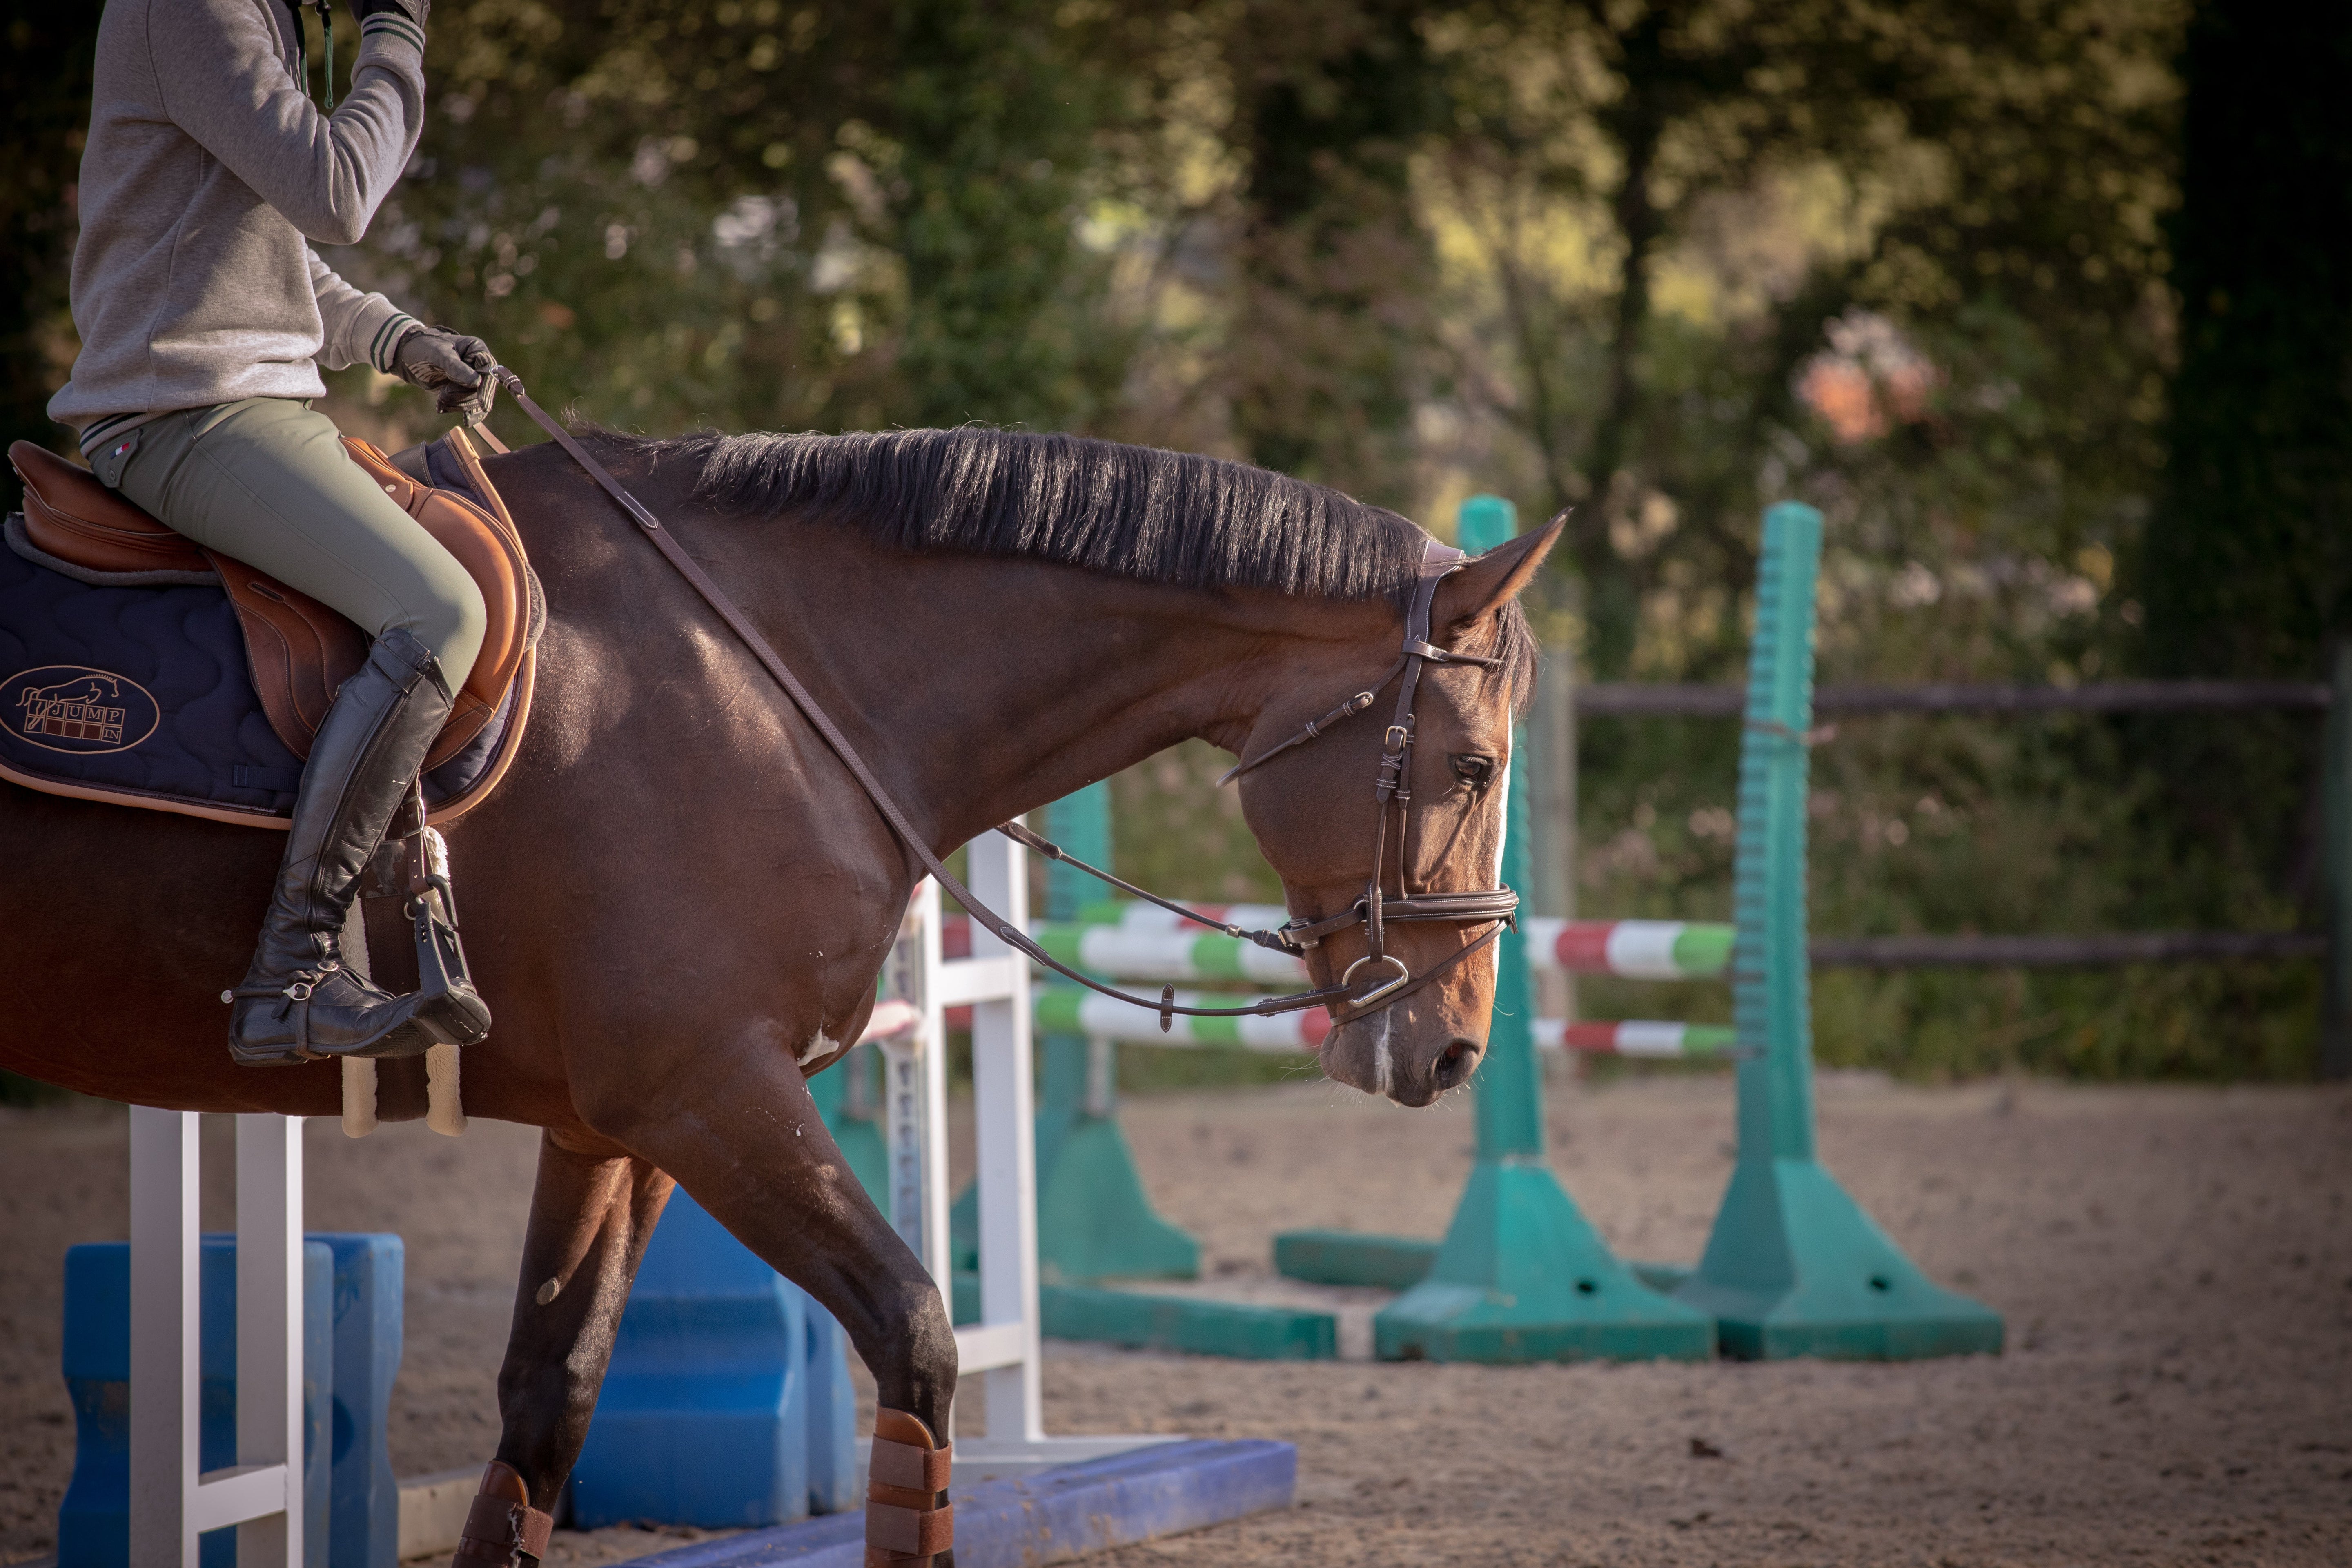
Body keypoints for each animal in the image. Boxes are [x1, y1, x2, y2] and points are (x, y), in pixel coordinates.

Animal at [2, 423, 1557, 1564]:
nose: (1455, 1049)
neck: (775, 679)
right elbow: (918, 1346)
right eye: (1475, 766)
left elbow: (547, 1408)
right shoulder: (711, 1096)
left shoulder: (616, 1132)